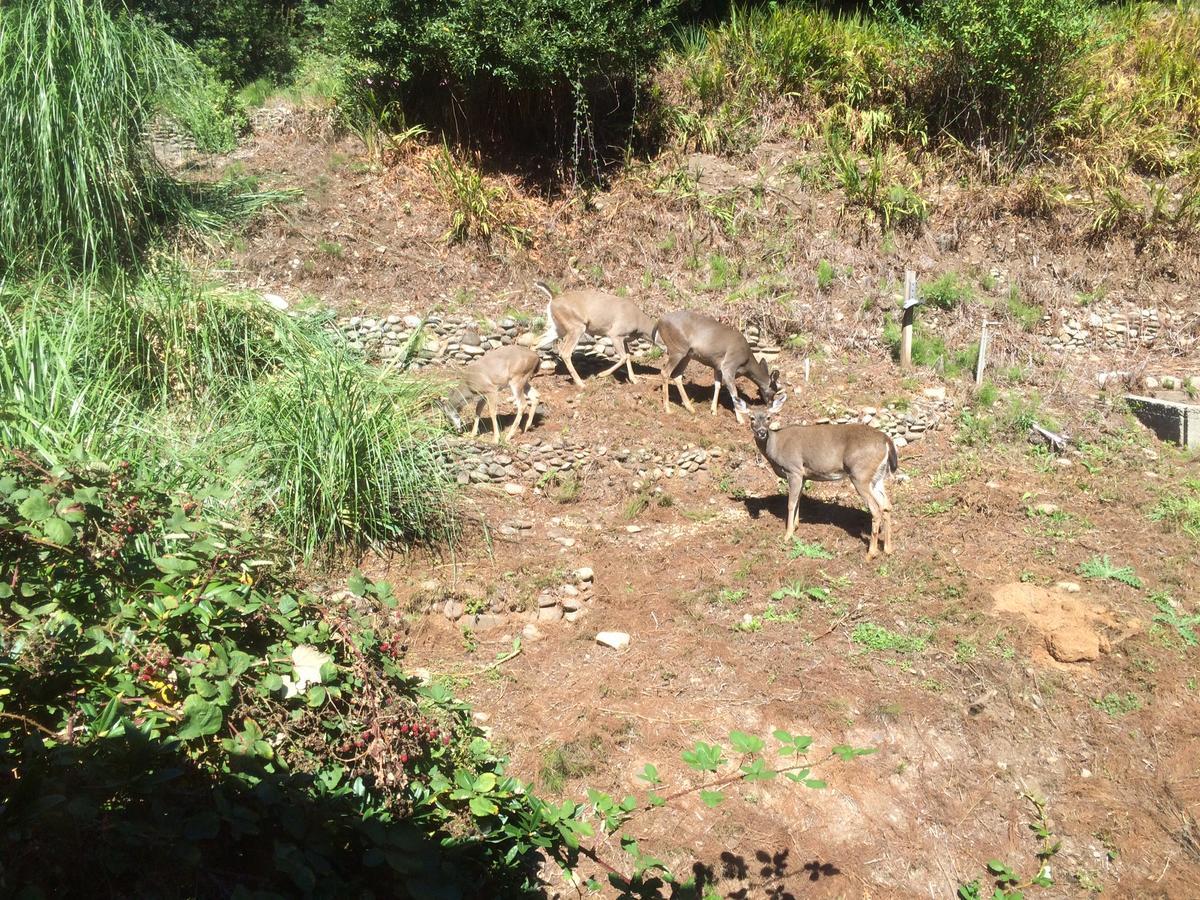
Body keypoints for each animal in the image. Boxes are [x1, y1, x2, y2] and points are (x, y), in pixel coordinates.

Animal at [652, 309, 782, 422]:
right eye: (774, 391)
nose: (770, 405)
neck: (746, 363)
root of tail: (659, 321)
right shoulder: (729, 366)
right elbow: (734, 393)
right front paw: (740, 419)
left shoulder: (717, 367)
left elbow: (718, 385)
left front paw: (714, 410)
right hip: (677, 349)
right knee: (665, 372)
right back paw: (668, 409)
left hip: (687, 354)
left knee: (677, 375)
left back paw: (690, 408)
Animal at [729, 393, 902, 556]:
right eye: (752, 418)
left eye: (768, 417)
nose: (761, 432)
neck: (775, 447)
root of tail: (887, 441)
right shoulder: (804, 475)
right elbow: (799, 499)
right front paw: (796, 526)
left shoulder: (794, 469)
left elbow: (791, 503)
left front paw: (787, 535)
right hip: (877, 477)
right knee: (886, 505)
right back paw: (888, 549)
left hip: (860, 474)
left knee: (876, 509)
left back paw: (871, 553)